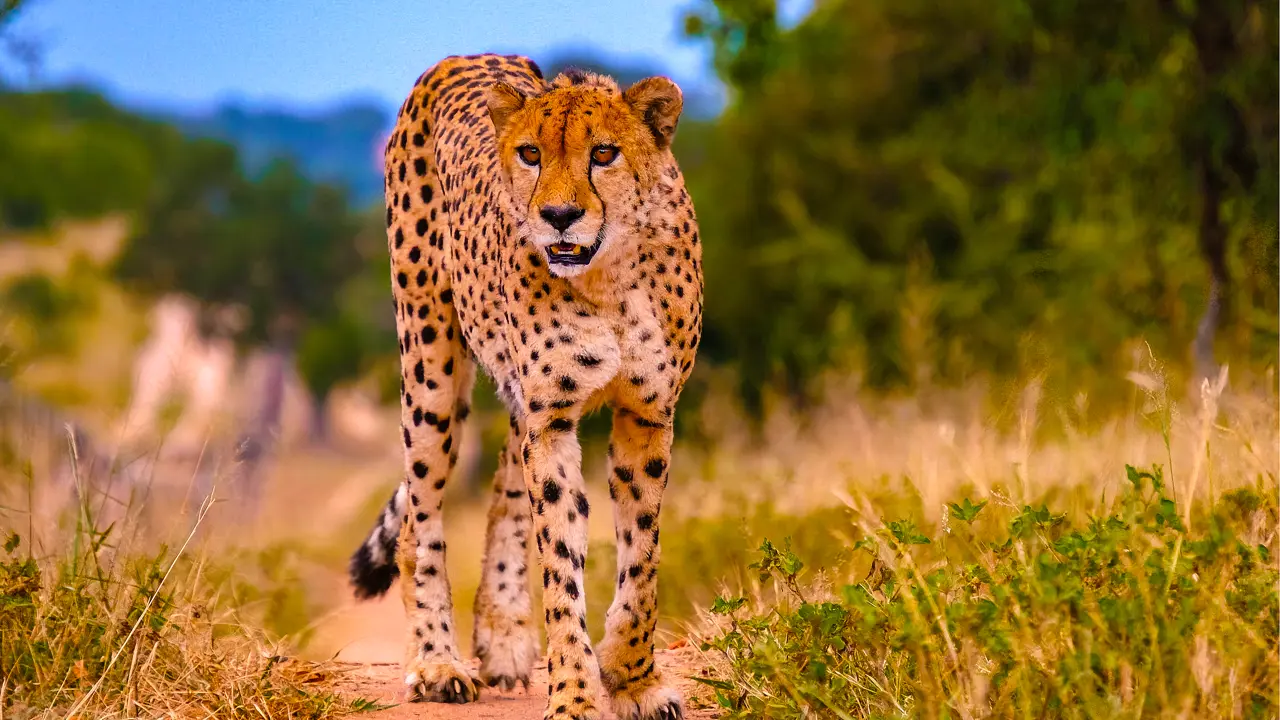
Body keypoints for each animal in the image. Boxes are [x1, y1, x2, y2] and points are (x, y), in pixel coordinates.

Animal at [348, 51, 701, 717]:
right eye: (531, 154)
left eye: (604, 153)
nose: (559, 217)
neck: (610, 278)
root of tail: (458, 58)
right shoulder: (553, 417)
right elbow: (561, 562)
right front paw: (575, 696)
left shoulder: (646, 413)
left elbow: (643, 557)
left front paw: (632, 677)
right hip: (430, 364)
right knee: (419, 516)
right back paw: (436, 660)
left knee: (505, 485)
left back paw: (504, 636)